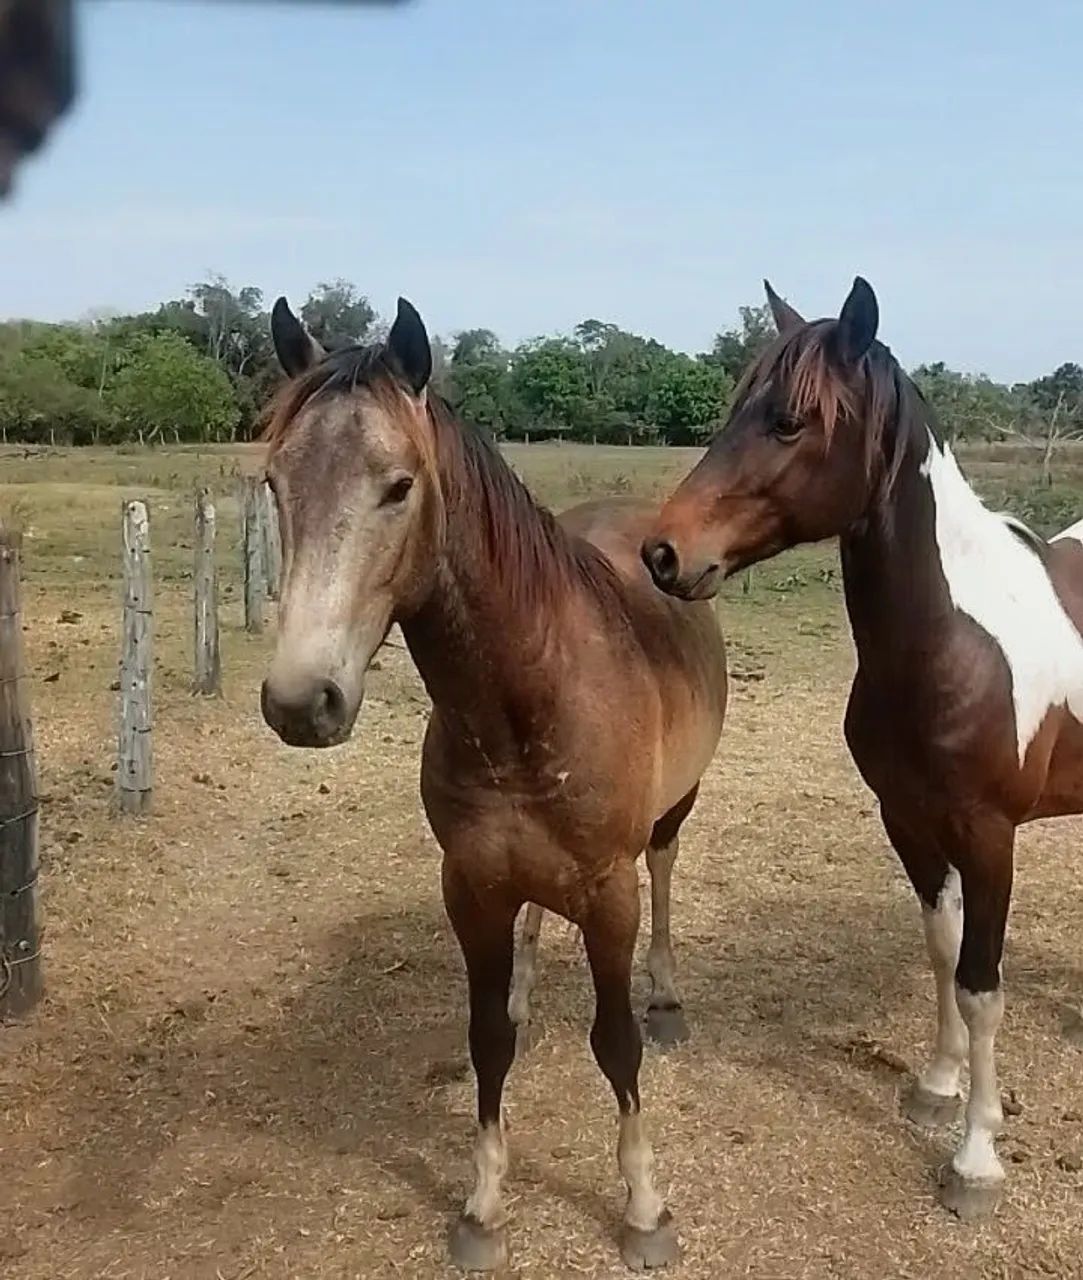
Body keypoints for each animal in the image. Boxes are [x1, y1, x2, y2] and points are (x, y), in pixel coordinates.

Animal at [258, 295, 728, 1271]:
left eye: (398, 486)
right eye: (275, 485)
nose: (300, 702)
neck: (526, 701)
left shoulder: (609, 893)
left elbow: (615, 1044)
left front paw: (643, 1208)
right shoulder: (470, 885)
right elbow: (487, 1040)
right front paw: (481, 1206)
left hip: (672, 815)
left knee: (666, 871)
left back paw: (666, 995)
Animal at [641, 275, 1083, 1222]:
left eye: (789, 421)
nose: (662, 553)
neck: (951, 638)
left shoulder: (990, 837)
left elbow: (981, 985)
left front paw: (975, 1160)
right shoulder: (909, 823)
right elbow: (942, 951)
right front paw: (938, 1087)